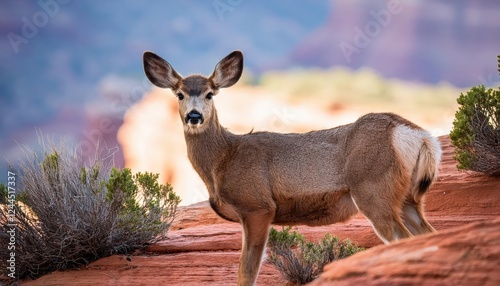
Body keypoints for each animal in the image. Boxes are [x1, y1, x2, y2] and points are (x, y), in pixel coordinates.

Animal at [142, 50, 442, 284]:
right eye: (180, 94)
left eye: (209, 94)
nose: (194, 116)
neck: (223, 158)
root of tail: (419, 135)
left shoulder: (257, 206)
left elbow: (246, 271)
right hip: (408, 198)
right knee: (428, 235)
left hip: (374, 190)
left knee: (402, 240)